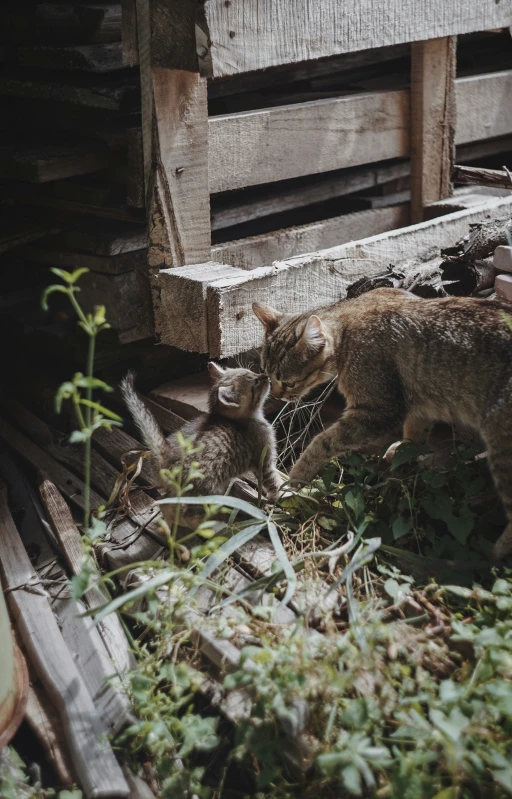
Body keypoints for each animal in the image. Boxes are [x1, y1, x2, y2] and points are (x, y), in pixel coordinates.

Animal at [119, 364, 282, 532]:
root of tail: (167, 453)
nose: (265, 376)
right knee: (188, 514)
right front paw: (285, 495)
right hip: (205, 493)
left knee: (166, 503)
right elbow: (275, 482)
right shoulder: (264, 461)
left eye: (252, 371)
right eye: (255, 382)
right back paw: (216, 527)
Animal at [254, 290, 512, 560]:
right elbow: (414, 434)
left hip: (502, 446)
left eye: (288, 383)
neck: (348, 325)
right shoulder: (415, 403)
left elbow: (321, 443)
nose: (277, 395)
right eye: (267, 375)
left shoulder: (379, 411)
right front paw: (403, 451)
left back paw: (492, 553)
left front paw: (295, 478)